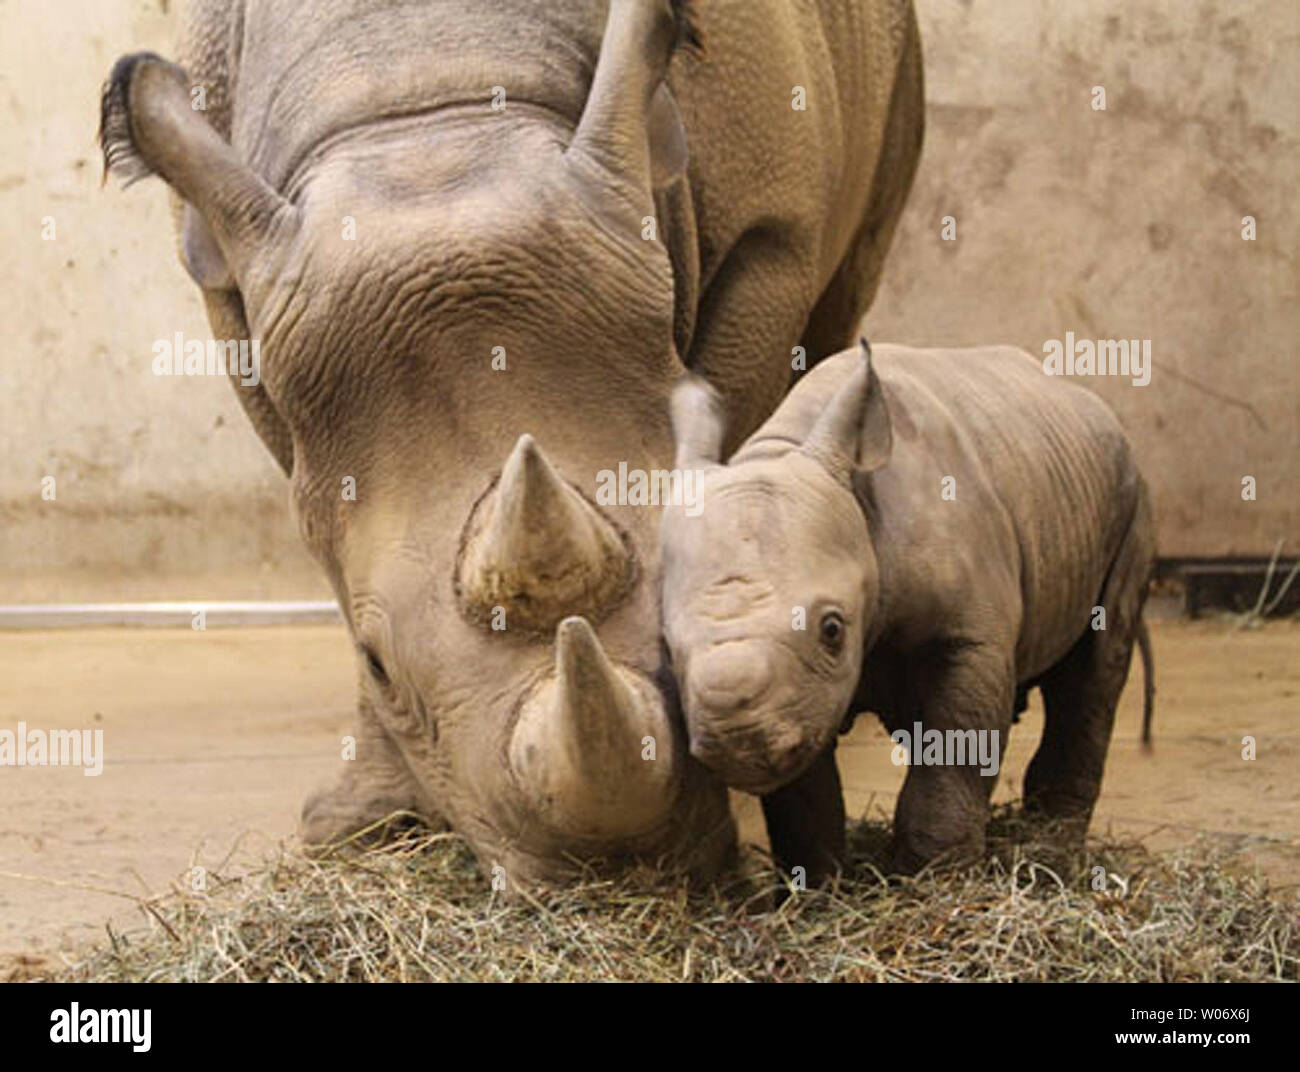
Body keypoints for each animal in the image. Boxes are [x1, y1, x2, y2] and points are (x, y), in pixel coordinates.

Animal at [104, 2, 925, 888]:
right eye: (376, 662)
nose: (620, 871)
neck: (428, 101)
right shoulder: (237, 296)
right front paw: (363, 825)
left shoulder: (770, 237)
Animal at [665, 340, 1154, 878]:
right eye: (667, 648)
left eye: (832, 630)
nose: (737, 741)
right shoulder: (802, 695)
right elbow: (804, 791)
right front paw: (818, 885)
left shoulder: (968, 638)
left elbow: (955, 750)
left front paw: (934, 878)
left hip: (1131, 496)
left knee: (1095, 669)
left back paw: (1055, 854)